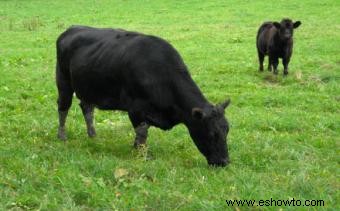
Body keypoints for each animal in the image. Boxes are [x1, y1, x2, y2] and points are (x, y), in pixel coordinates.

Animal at [55, 25, 231, 166]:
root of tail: (72, 28)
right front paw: (142, 156)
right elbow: (142, 134)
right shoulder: (136, 109)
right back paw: (62, 136)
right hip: (63, 81)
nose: (224, 162)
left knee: (87, 108)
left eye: (227, 131)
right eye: (212, 134)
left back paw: (93, 135)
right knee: (63, 107)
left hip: (89, 87)